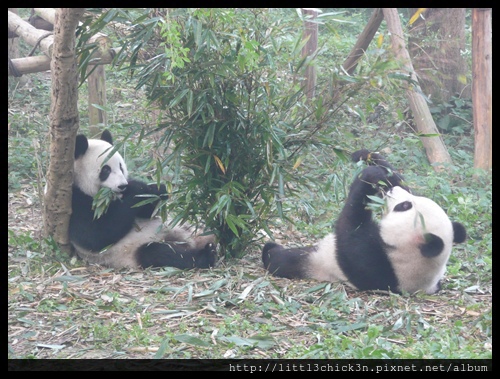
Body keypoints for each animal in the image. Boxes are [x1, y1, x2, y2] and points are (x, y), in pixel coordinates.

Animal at [69, 130, 217, 270]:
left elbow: (147, 211)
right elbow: (96, 236)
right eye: (106, 170)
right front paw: (138, 189)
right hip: (133, 250)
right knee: (160, 253)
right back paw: (207, 254)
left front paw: (157, 190)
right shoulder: (75, 201)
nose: (122, 186)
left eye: (121, 166)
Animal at [262, 150, 468, 296]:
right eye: (410, 200)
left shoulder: (374, 262)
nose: (392, 191)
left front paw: (369, 175)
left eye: (404, 206)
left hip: (315, 262)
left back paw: (270, 250)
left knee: (284, 260)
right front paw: (370, 159)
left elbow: (349, 228)